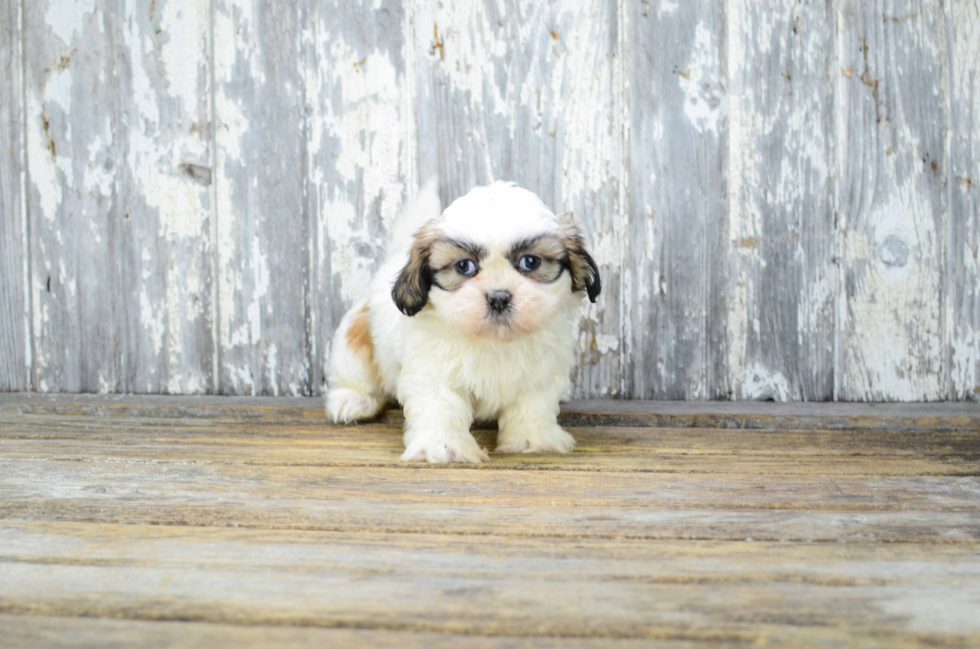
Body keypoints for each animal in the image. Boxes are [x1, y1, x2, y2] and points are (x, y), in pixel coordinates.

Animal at [326, 180, 600, 464]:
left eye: (530, 262)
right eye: (464, 266)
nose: (498, 297)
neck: (494, 341)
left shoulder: (540, 373)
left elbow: (533, 403)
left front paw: (533, 439)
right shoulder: (432, 369)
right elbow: (440, 406)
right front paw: (443, 446)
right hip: (355, 341)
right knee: (355, 374)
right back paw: (352, 400)